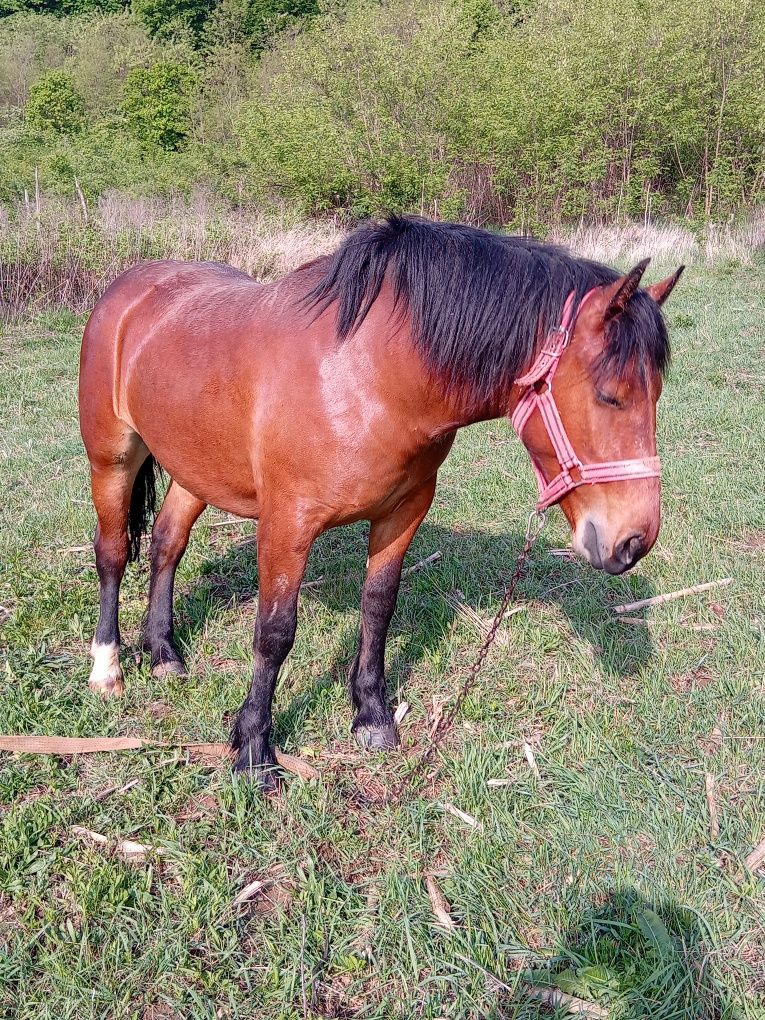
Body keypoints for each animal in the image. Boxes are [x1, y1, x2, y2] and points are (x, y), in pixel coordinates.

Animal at [79, 215, 681, 787]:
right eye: (609, 396)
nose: (633, 540)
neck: (368, 373)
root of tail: (130, 287)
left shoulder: (403, 511)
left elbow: (379, 606)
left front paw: (371, 715)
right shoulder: (287, 523)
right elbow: (274, 633)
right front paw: (252, 749)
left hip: (196, 466)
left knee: (166, 543)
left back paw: (163, 652)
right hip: (113, 459)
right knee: (112, 553)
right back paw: (107, 667)